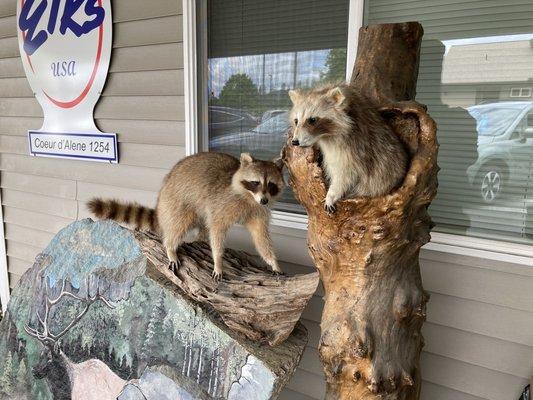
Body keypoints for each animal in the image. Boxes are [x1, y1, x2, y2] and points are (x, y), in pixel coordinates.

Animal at [286, 83, 408, 214]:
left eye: (312, 120)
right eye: (296, 121)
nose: (295, 142)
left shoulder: (354, 148)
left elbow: (346, 174)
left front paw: (332, 194)